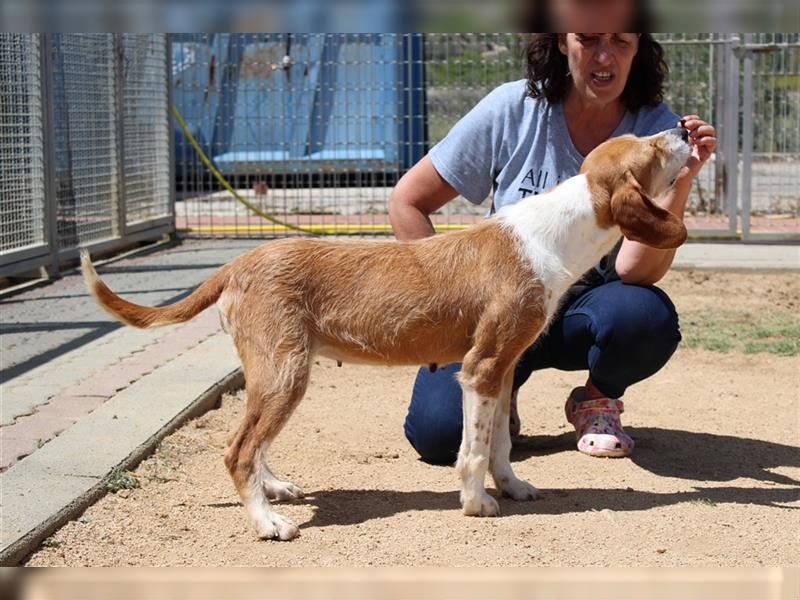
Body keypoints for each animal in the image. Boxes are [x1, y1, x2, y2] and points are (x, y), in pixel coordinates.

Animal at [83, 129, 692, 540]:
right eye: (652, 150)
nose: (685, 130)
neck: (553, 232)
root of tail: (236, 263)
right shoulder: (482, 368)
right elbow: (473, 450)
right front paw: (477, 503)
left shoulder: (504, 367)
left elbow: (498, 443)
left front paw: (512, 487)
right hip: (285, 372)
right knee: (238, 450)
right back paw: (267, 520)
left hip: (277, 374)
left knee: (251, 444)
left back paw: (274, 489)